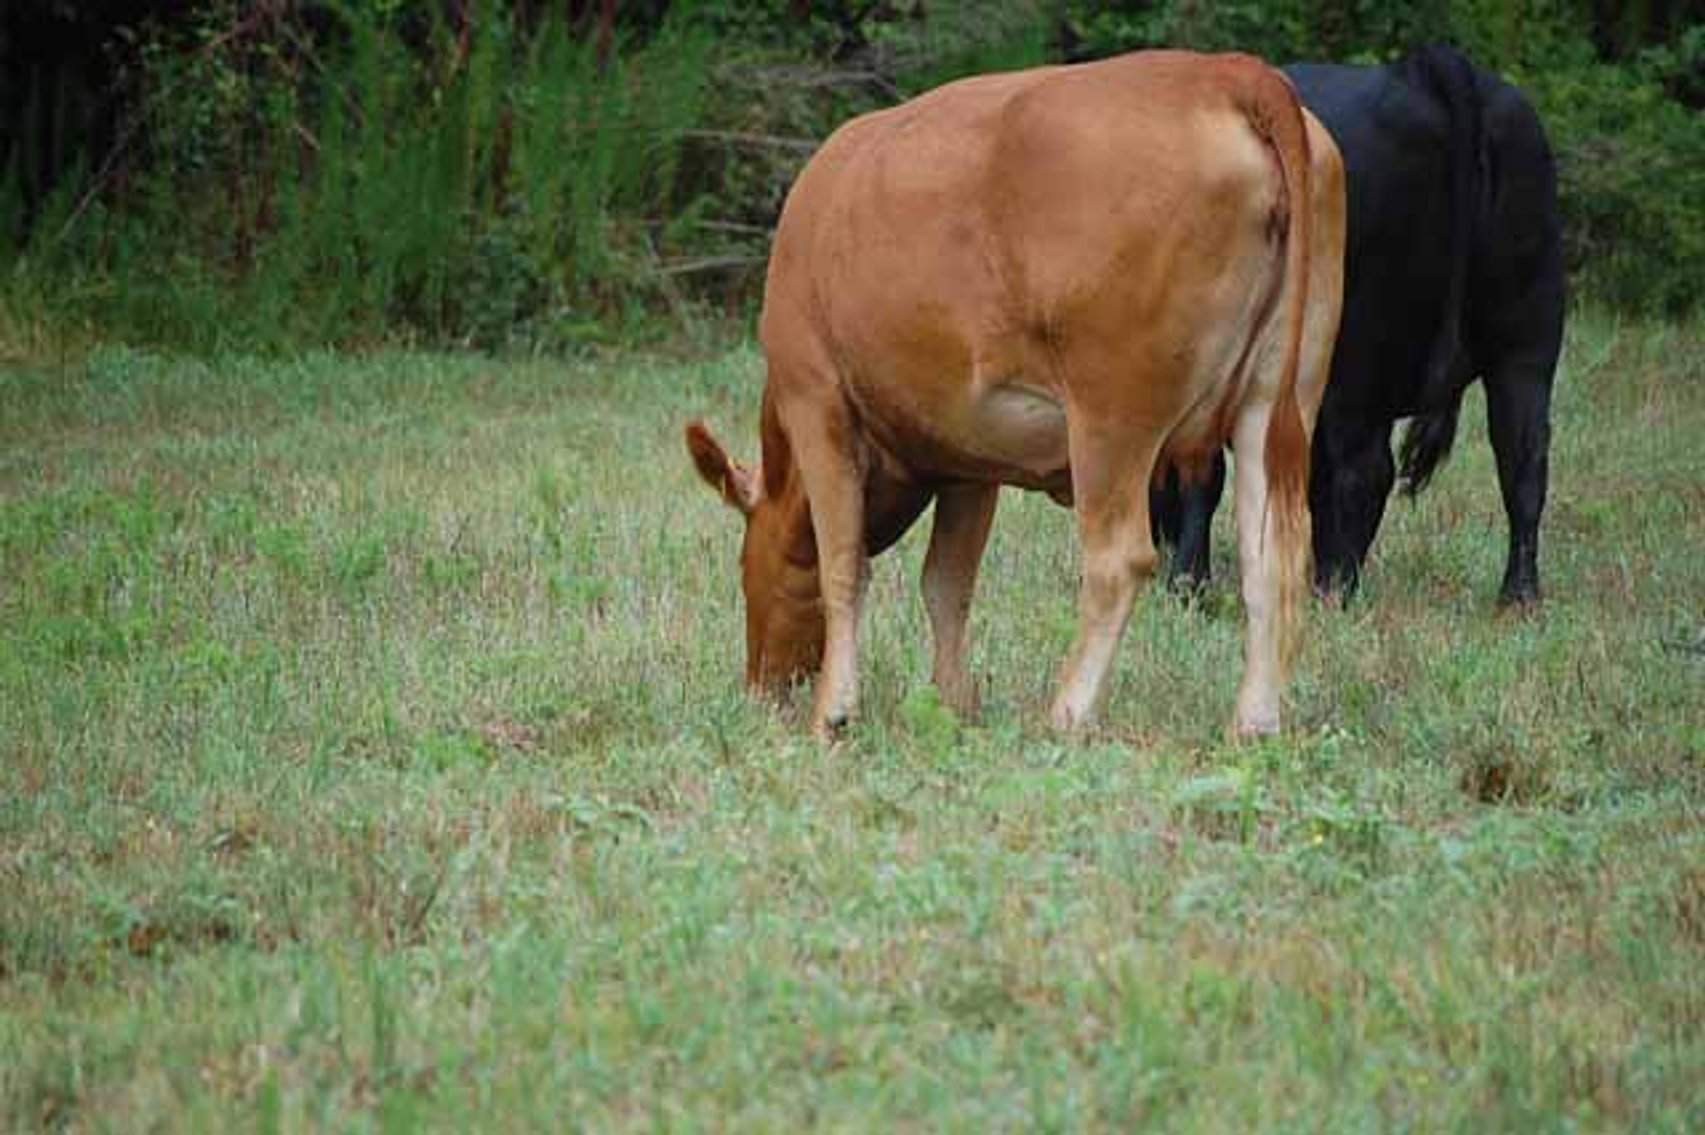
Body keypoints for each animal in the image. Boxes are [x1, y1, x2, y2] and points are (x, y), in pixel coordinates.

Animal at [685, 50, 1345, 739]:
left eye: (742, 565)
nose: (761, 686)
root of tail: (1225, 71)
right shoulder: (967, 459)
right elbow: (946, 583)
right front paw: (954, 703)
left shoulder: (816, 399)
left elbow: (844, 562)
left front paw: (833, 713)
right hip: (1275, 401)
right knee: (1269, 559)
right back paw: (1254, 723)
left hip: (1112, 419)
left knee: (1118, 560)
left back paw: (1068, 712)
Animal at [1152, 43, 1565, 608]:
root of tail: (1421, 74)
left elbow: (1206, 475)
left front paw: (1188, 584)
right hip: (1526, 339)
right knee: (1523, 460)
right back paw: (1516, 595)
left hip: (1356, 354)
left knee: (1368, 469)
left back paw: (1333, 590)